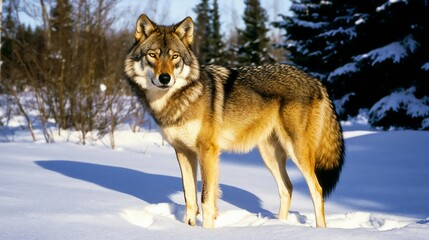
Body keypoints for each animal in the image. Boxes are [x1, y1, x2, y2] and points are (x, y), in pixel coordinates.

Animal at [123, 14, 344, 228]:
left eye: (174, 56)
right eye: (153, 55)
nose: (165, 78)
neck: (178, 99)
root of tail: (317, 81)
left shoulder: (208, 151)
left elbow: (205, 199)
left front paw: (206, 231)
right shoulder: (183, 152)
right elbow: (190, 198)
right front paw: (189, 227)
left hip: (296, 152)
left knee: (317, 189)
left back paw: (318, 230)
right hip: (269, 155)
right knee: (287, 188)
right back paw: (280, 227)